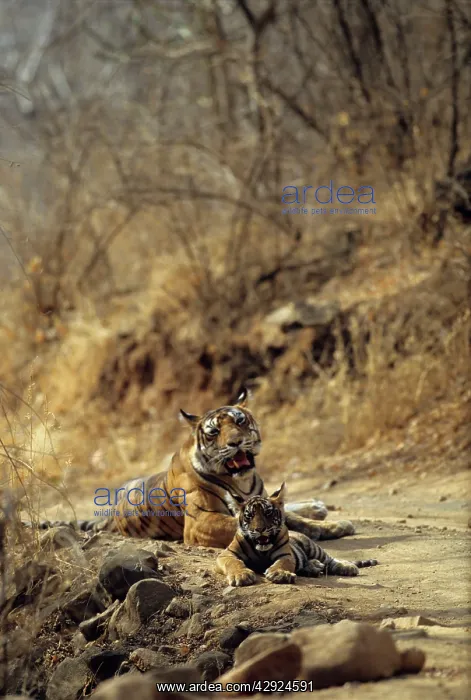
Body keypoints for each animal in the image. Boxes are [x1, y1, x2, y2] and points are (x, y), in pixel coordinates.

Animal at [28, 388, 355, 548]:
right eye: (213, 432)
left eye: (240, 421)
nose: (236, 442)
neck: (242, 481)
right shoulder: (202, 521)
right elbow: (249, 524)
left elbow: (290, 518)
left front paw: (334, 526)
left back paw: (318, 507)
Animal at [216, 483, 378, 586]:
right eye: (249, 516)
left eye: (268, 513)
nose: (259, 529)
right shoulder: (226, 554)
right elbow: (234, 563)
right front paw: (241, 575)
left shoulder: (286, 555)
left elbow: (283, 563)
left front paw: (279, 574)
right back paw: (314, 567)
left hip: (313, 547)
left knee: (330, 559)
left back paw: (346, 567)